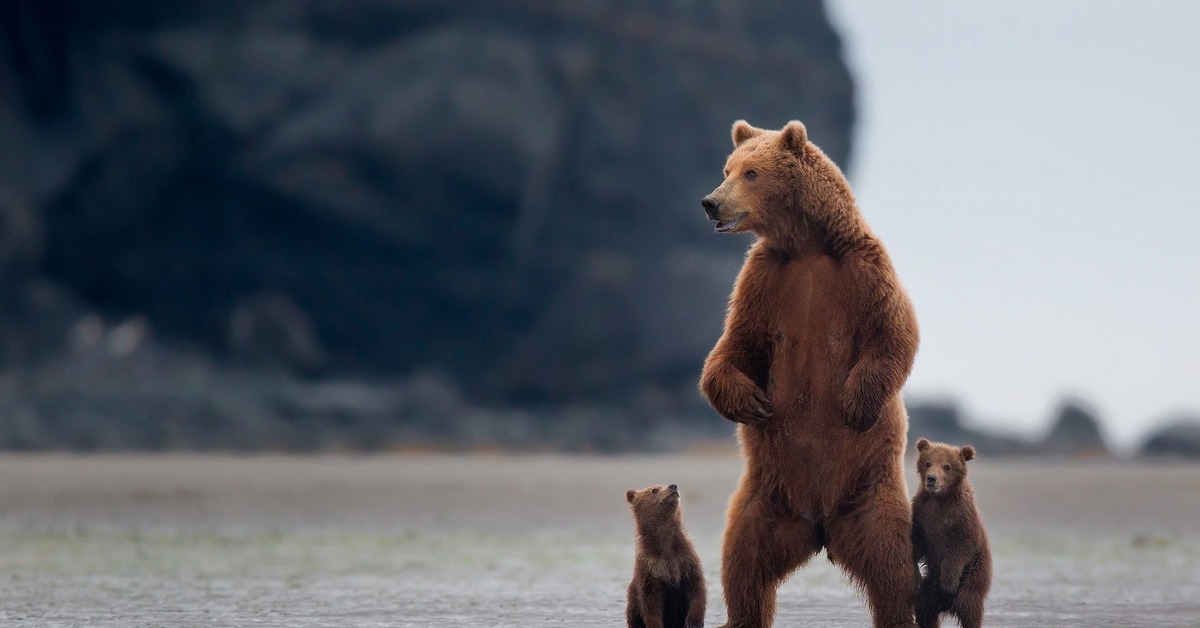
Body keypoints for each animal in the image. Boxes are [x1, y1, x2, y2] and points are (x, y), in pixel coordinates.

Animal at [624, 487, 705, 628]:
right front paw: (656, 624)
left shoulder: (686, 560)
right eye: (654, 489)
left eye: (664, 484)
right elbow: (651, 603)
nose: (673, 486)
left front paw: (693, 622)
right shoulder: (650, 567)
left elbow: (696, 588)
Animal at [700, 120, 921, 624]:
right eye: (727, 169)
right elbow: (735, 346)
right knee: (743, 567)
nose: (711, 202)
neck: (806, 246)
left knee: (892, 571)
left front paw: (855, 404)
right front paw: (749, 401)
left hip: (872, 498)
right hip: (764, 503)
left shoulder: (865, 271)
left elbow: (895, 333)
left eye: (752, 173)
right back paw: (741, 615)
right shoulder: (762, 283)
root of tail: (819, 527)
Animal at [907, 439, 993, 628]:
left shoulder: (962, 516)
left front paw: (948, 583)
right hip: (929, 589)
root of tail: (947, 606)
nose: (932, 478)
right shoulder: (922, 514)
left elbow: (961, 546)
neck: (940, 499)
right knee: (925, 610)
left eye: (947, 466)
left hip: (972, 579)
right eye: (928, 463)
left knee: (970, 608)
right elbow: (918, 541)